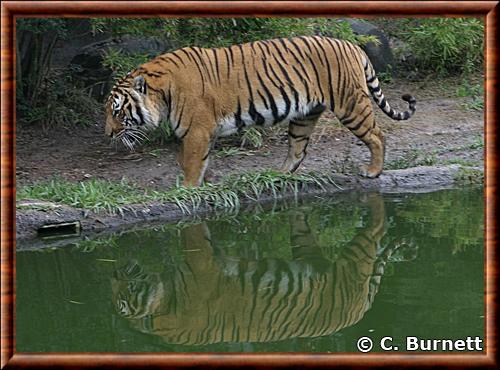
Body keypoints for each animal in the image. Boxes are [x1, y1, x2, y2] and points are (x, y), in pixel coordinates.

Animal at [103, 35, 416, 186]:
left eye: (117, 112)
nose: (107, 134)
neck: (161, 90)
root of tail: (354, 46)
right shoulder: (206, 132)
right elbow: (201, 161)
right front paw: (206, 183)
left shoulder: (197, 131)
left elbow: (190, 163)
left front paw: (189, 188)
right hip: (304, 116)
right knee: (298, 150)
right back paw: (279, 175)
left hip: (350, 104)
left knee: (377, 136)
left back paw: (373, 171)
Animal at [110, 195, 418, 346]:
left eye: (125, 298)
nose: (115, 274)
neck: (164, 300)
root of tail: (360, 312)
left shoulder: (203, 269)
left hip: (353, 263)